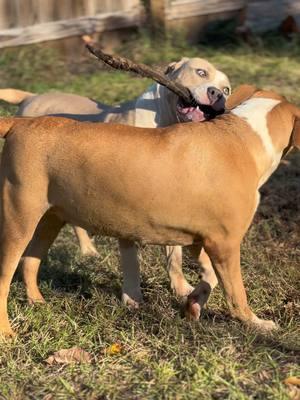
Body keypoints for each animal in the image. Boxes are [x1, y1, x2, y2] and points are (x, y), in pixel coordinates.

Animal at [0, 56, 232, 308]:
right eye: (201, 72)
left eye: (227, 89)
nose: (216, 94)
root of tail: (31, 97)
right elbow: (131, 260)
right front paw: (132, 298)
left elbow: (174, 255)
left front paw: (180, 288)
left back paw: (87, 250)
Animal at [0, 85, 298, 338]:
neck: (242, 136)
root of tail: (20, 123)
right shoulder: (225, 243)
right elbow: (236, 293)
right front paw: (256, 323)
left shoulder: (203, 240)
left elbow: (210, 277)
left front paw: (193, 302)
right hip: (18, 219)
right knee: (6, 274)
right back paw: (7, 333)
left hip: (50, 218)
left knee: (30, 261)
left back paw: (37, 302)